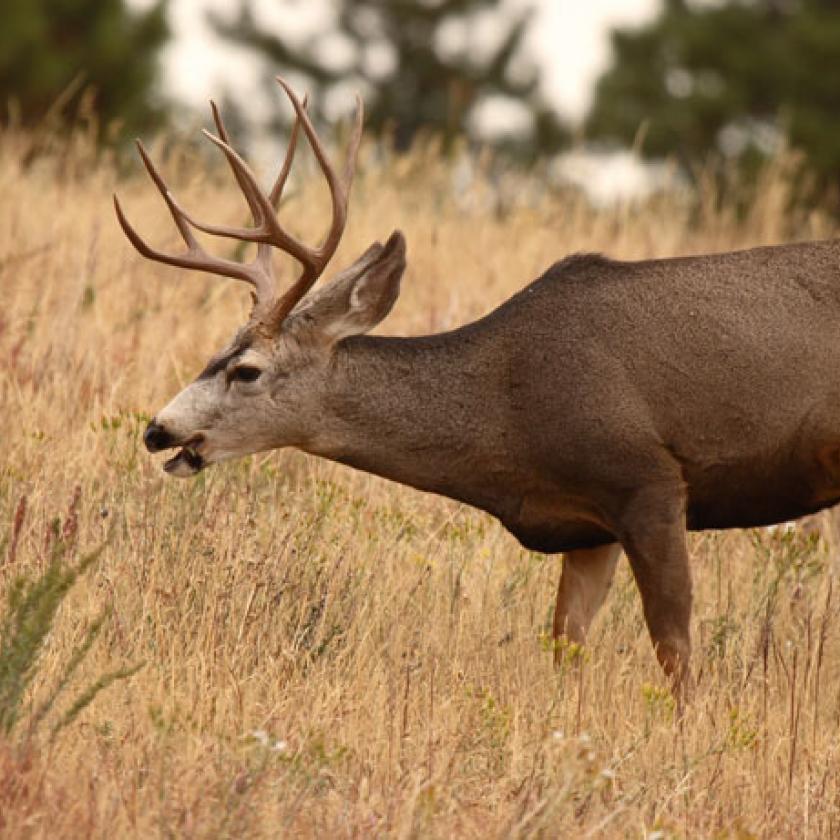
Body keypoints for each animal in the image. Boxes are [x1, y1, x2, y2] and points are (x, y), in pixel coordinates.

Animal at [115, 80, 840, 696]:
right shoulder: (586, 527)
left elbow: (675, 650)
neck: (507, 413)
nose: (157, 429)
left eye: (247, 370)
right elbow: (566, 646)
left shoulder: (648, 481)